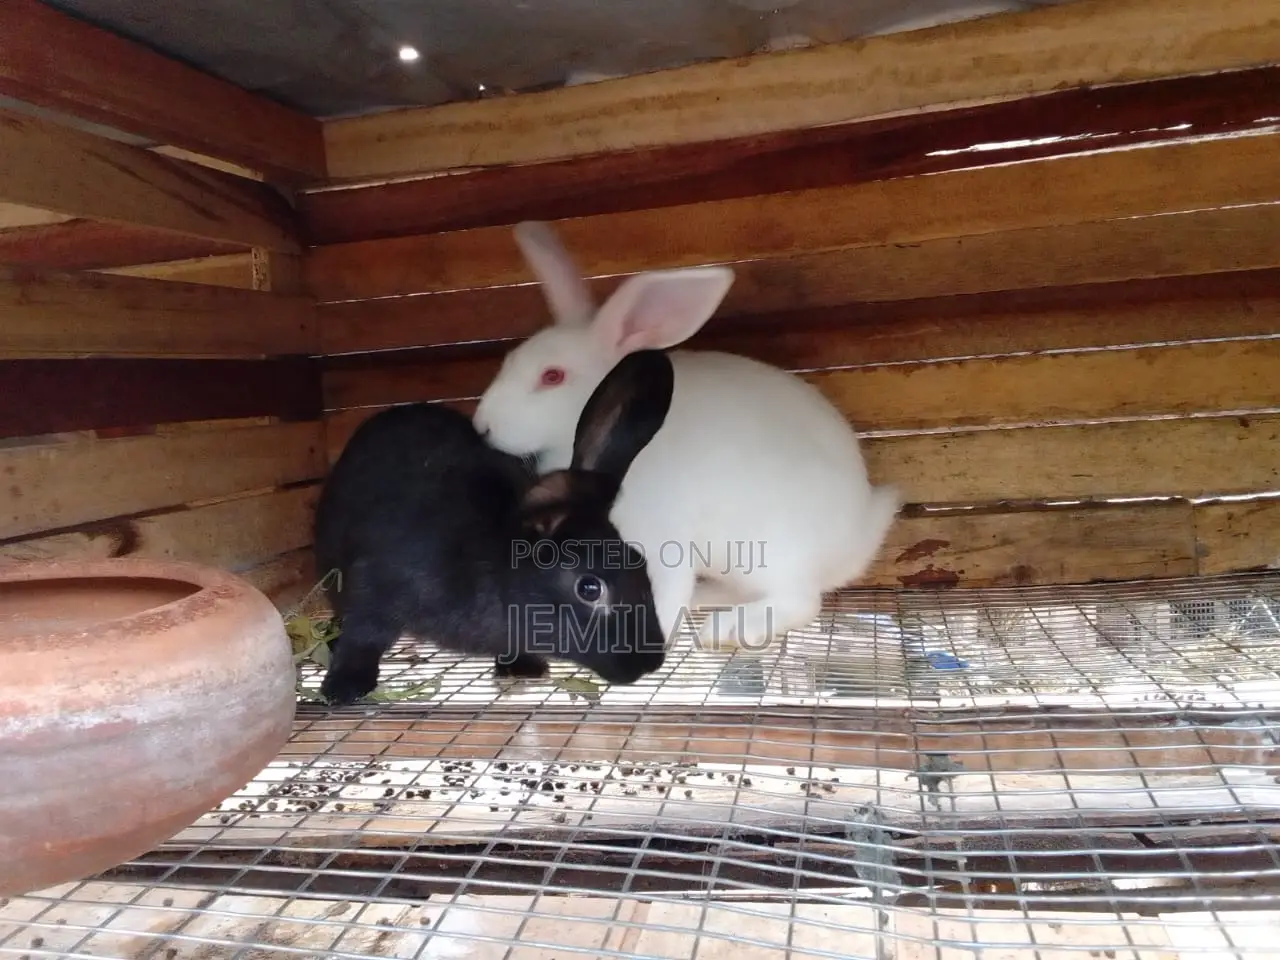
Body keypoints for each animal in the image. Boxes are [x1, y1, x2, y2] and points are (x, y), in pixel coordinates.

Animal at [312, 348, 677, 706]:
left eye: (639, 562)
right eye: (589, 588)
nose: (651, 662)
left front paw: (523, 668)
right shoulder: (376, 586)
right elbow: (364, 636)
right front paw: (343, 689)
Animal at [472, 221, 901, 655]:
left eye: (552, 376)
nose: (482, 425)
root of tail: (858, 536)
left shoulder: (663, 537)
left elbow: (664, 593)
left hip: (770, 549)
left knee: (800, 601)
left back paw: (729, 629)